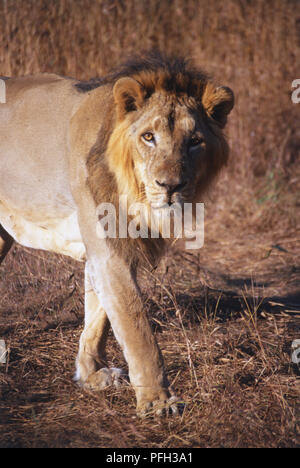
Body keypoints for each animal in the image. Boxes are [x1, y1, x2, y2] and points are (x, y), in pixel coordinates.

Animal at [0, 53, 234, 414]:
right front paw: (158, 401)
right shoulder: (109, 251)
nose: (170, 186)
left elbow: (99, 317)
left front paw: (91, 375)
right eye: (148, 137)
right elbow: (137, 327)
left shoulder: (114, 250)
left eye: (195, 142)